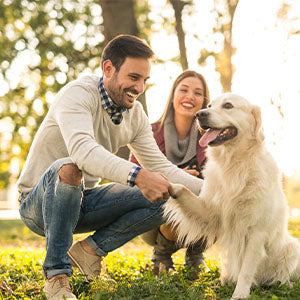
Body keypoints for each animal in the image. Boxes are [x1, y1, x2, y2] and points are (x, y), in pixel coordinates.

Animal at [165, 93, 300, 298]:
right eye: (209, 105)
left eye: (228, 106)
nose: (199, 114)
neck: (234, 163)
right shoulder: (211, 213)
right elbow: (184, 191)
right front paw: (161, 182)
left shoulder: (256, 230)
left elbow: (247, 269)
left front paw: (240, 294)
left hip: (293, 247)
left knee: (281, 276)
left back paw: (284, 285)